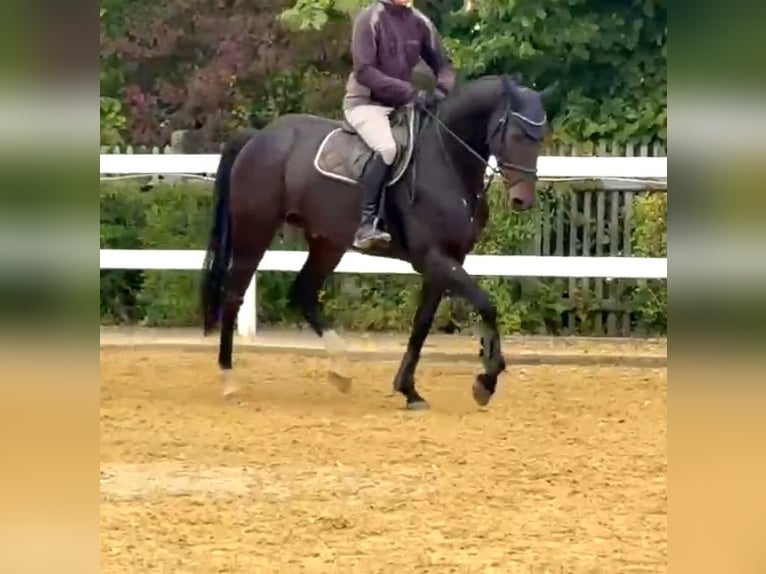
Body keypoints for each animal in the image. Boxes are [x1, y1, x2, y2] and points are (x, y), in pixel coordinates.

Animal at [200, 73, 558, 410]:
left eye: (540, 137)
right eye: (515, 135)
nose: (523, 200)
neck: (447, 162)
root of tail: (257, 137)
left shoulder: (447, 261)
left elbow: (422, 324)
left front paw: (409, 390)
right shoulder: (435, 257)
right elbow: (486, 304)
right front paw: (486, 380)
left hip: (327, 242)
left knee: (304, 291)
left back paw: (341, 370)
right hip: (255, 233)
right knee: (233, 295)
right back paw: (229, 379)